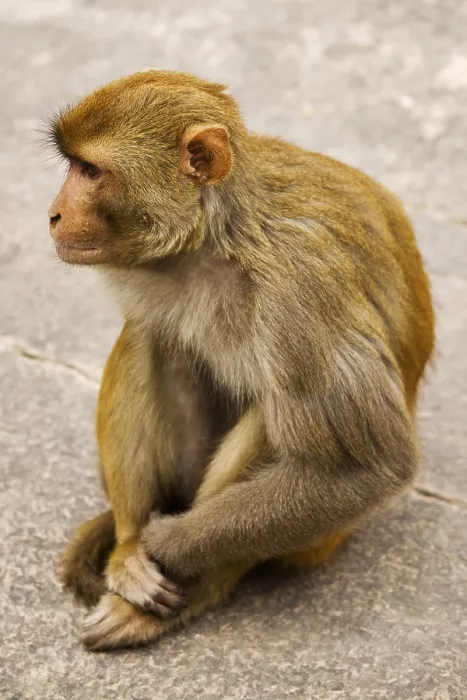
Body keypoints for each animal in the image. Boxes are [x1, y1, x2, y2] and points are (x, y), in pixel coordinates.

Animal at [47, 69, 435, 651]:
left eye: (91, 171)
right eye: (74, 166)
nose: (53, 214)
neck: (217, 237)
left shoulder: (303, 287)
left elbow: (366, 468)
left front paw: (164, 546)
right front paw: (134, 547)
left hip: (319, 540)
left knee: (279, 419)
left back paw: (187, 591)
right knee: (152, 337)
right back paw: (128, 549)